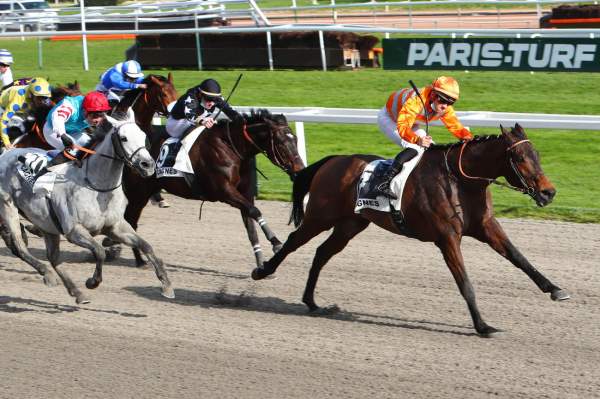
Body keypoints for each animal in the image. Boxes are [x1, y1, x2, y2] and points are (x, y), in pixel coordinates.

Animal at [0, 108, 173, 304]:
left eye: (143, 136)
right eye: (123, 138)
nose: (148, 165)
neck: (97, 186)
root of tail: (5, 153)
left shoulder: (116, 227)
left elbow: (146, 246)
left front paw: (166, 285)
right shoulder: (74, 231)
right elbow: (99, 251)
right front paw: (92, 282)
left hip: (46, 223)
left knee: (52, 257)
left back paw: (76, 292)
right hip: (9, 208)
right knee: (20, 246)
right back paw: (48, 274)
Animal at [124, 108, 308, 268]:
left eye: (295, 140)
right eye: (281, 143)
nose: (300, 171)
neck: (231, 147)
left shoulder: (244, 194)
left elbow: (250, 226)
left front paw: (261, 263)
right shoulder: (224, 192)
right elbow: (255, 212)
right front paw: (276, 243)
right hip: (138, 192)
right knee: (130, 220)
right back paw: (138, 259)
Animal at [251, 124, 568, 338]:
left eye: (537, 154)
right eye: (521, 158)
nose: (549, 192)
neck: (460, 180)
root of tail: (332, 160)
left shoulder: (487, 226)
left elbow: (519, 258)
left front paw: (555, 289)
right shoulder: (447, 238)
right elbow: (465, 283)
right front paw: (482, 325)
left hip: (350, 224)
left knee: (322, 253)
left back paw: (312, 302)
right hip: (320, 215)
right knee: (293, 242)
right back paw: (263, 271)